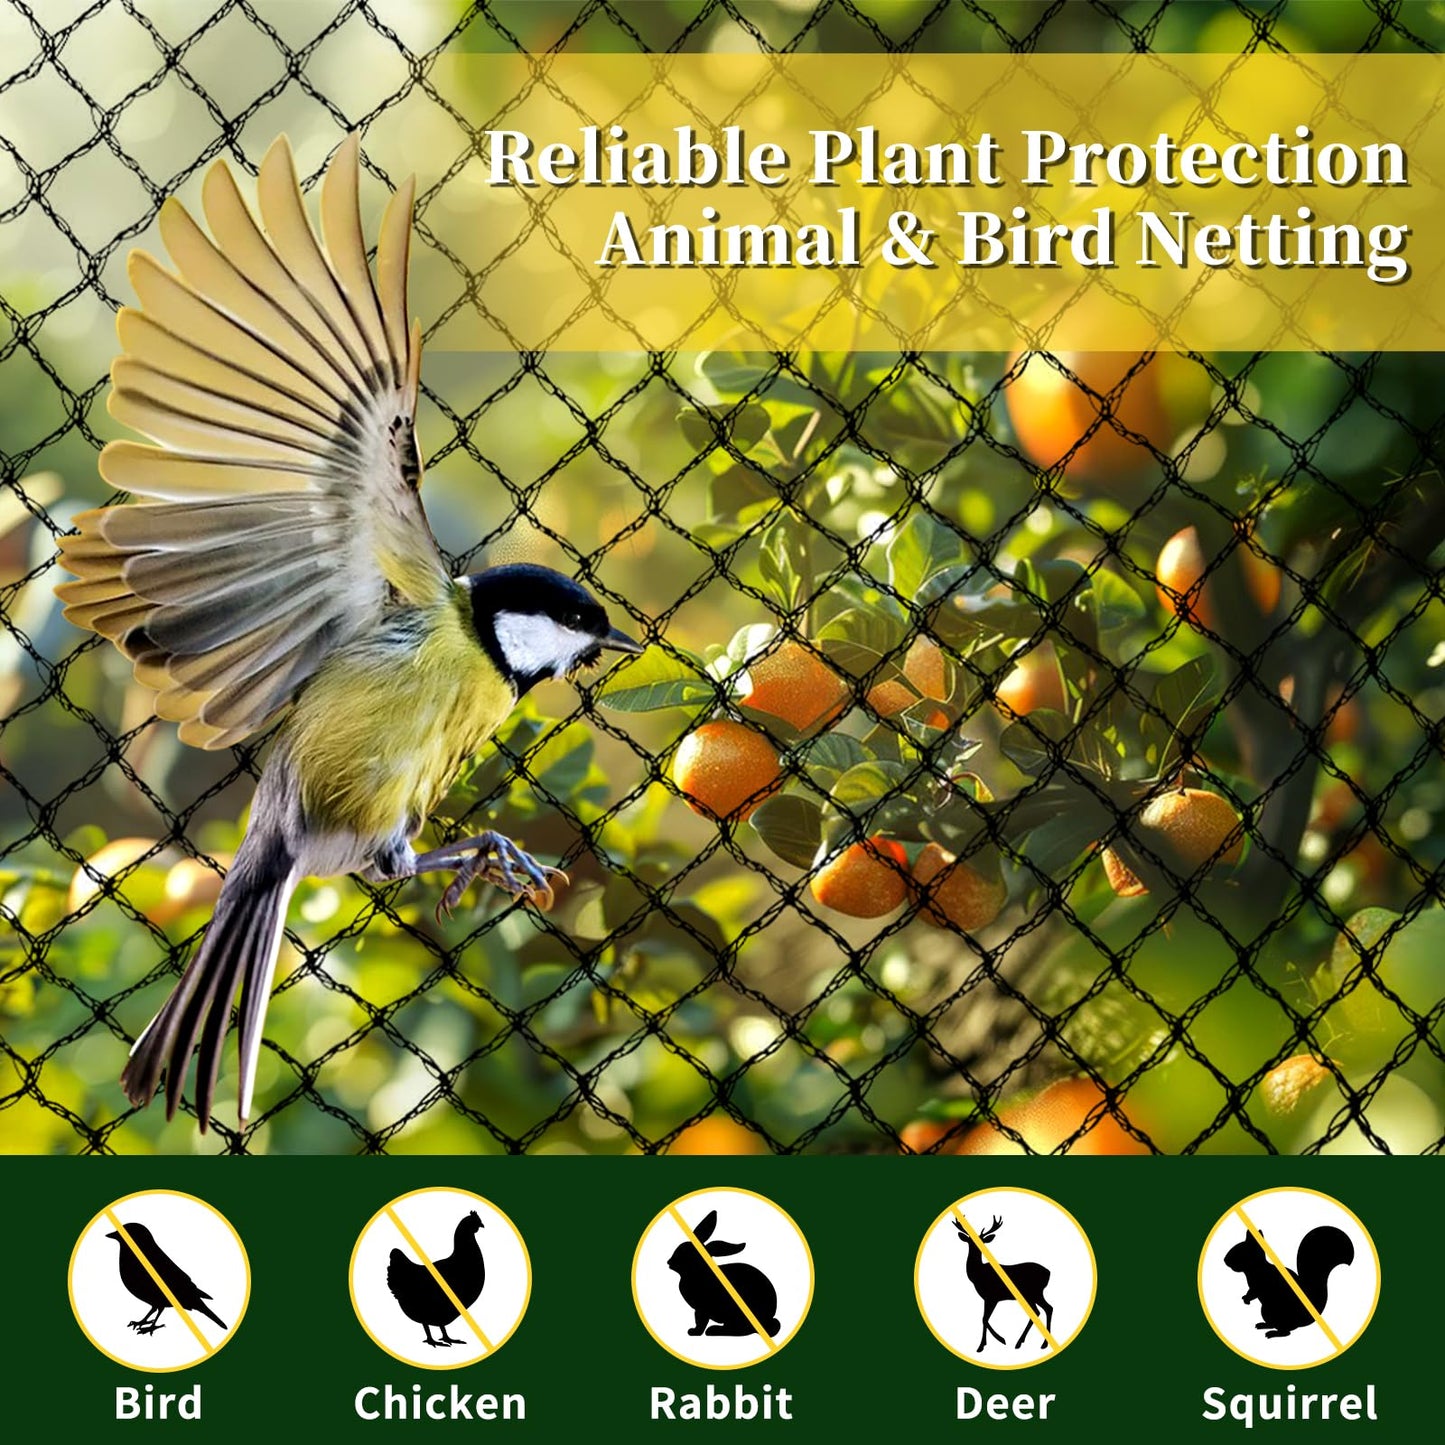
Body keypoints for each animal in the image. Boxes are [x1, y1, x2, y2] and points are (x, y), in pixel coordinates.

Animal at [954, 1215, 1055, 1353]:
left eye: (982, 1241)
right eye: (970, 1241)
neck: (977, 1274)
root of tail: (1049, 1273)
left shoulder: (992, 1297)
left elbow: (984, 1319)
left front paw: (998, 1340)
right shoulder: (988, 1298)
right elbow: (984, 1318)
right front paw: (983, 1345)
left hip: (1034, 1292)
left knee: (1047, 1308)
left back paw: (1043, 1344)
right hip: (1031, 1295)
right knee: (1039, 1311)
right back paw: (1021, 1342)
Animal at [1223, 1226, 1354, 1338]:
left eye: (1239, 1251)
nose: (1225, 1260)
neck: (1256, 1269)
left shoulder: (1261, 1285)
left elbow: (1254, 1293)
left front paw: (1247, 1299)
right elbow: (1249, 1291)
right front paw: (1244, 1297)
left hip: (1272, 1311)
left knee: (1286, 1332)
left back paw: (1272, 1333)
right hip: (1267, 1312)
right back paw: (1263, 1325)